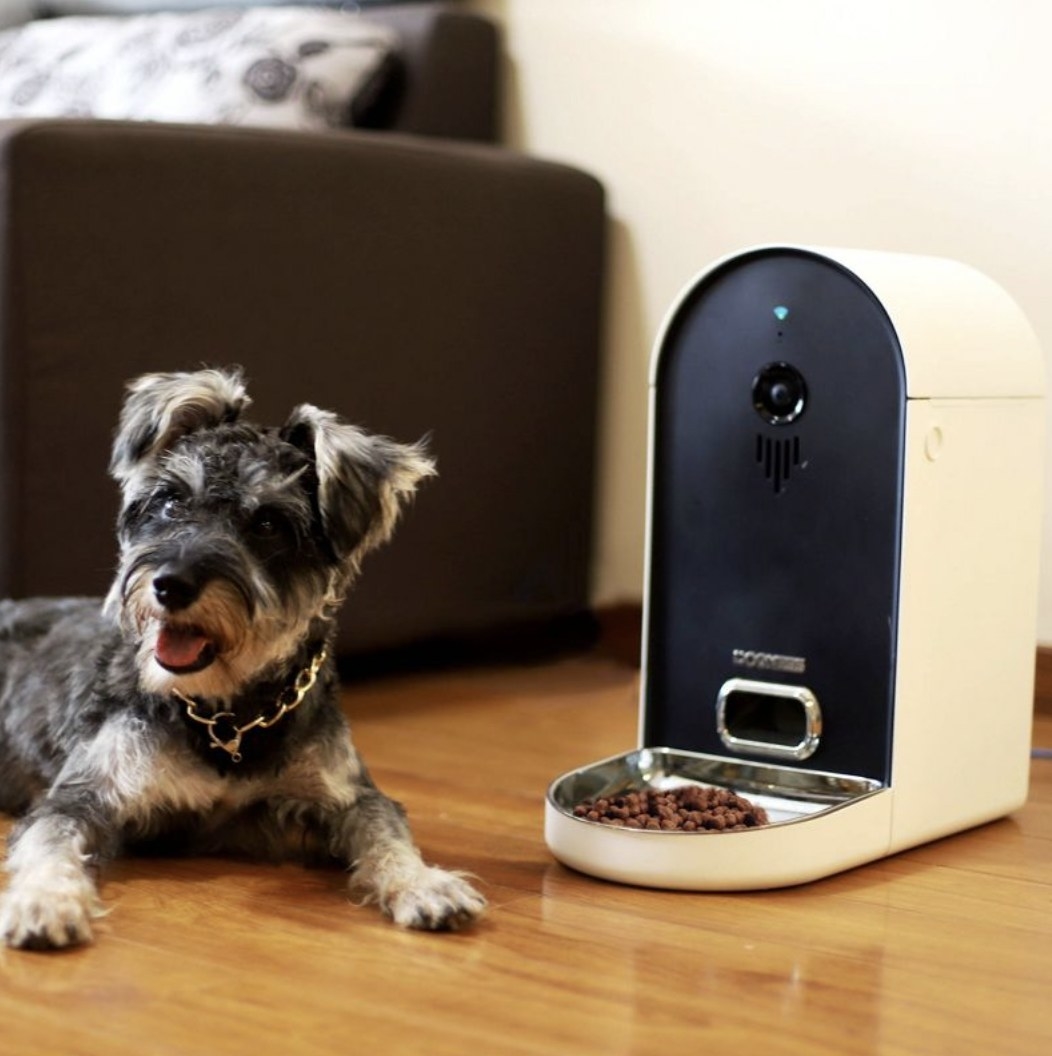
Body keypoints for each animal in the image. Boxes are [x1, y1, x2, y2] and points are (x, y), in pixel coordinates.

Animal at [0, 365, 485, 950]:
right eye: (170, 500)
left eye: (269, 523)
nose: (169, 585)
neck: (226, 715)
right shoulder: (84, 793)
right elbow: (50, 838)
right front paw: (43, 902)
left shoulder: (346, 796)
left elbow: (385, 833)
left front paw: (425, 884)